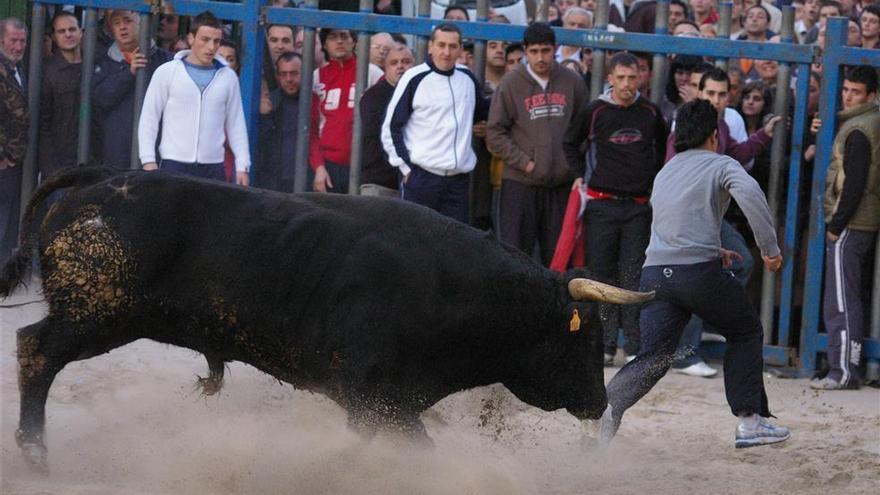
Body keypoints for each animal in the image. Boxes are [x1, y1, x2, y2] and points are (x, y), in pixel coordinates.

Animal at [1, 170, 652, 472]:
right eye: (587, 338)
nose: (601, 402)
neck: (457, 291)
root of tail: (99, 181)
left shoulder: (385, 406)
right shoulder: (374, 399)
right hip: (95, 314)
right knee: (36, 350)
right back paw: (34, 454)